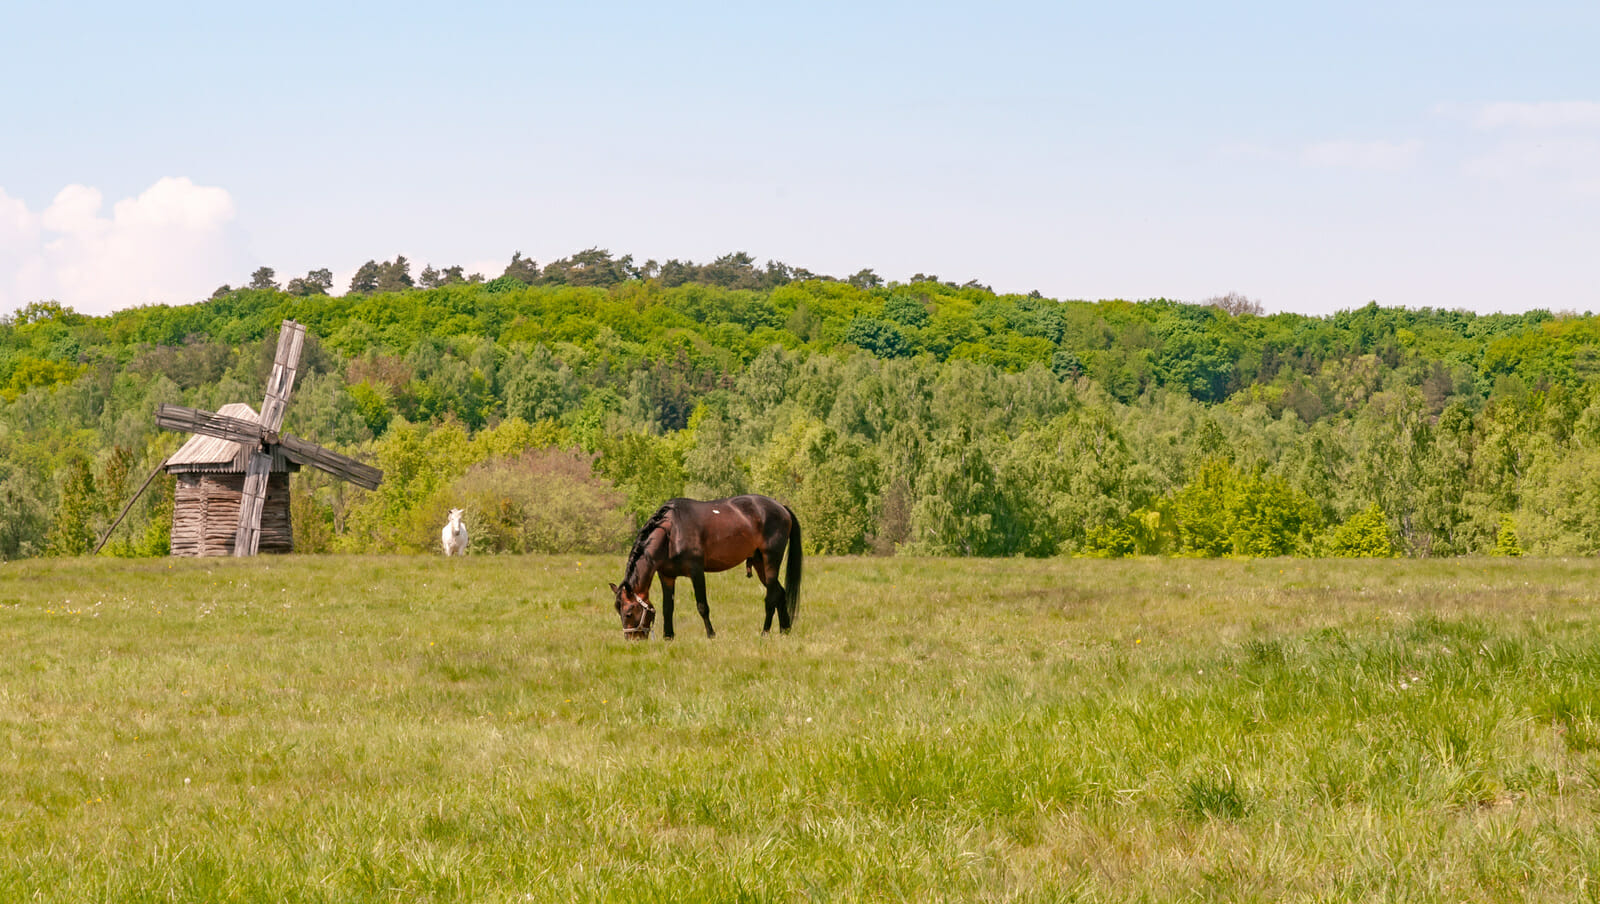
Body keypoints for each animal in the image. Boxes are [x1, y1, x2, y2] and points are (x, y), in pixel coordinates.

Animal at [608, 496, 800, 636]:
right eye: (618, 612)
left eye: (629, 613)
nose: (632, 639)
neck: (672, 532)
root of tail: (782, 508)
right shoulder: (667, 576)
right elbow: (667, 608)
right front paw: (668, 637)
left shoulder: (696, 572)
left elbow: (702, 606)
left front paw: (711, 634)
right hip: (760, 564)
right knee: (779, 592)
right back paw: (785, 630)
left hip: (771, 561)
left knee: (771, 597)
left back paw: (765, 632)